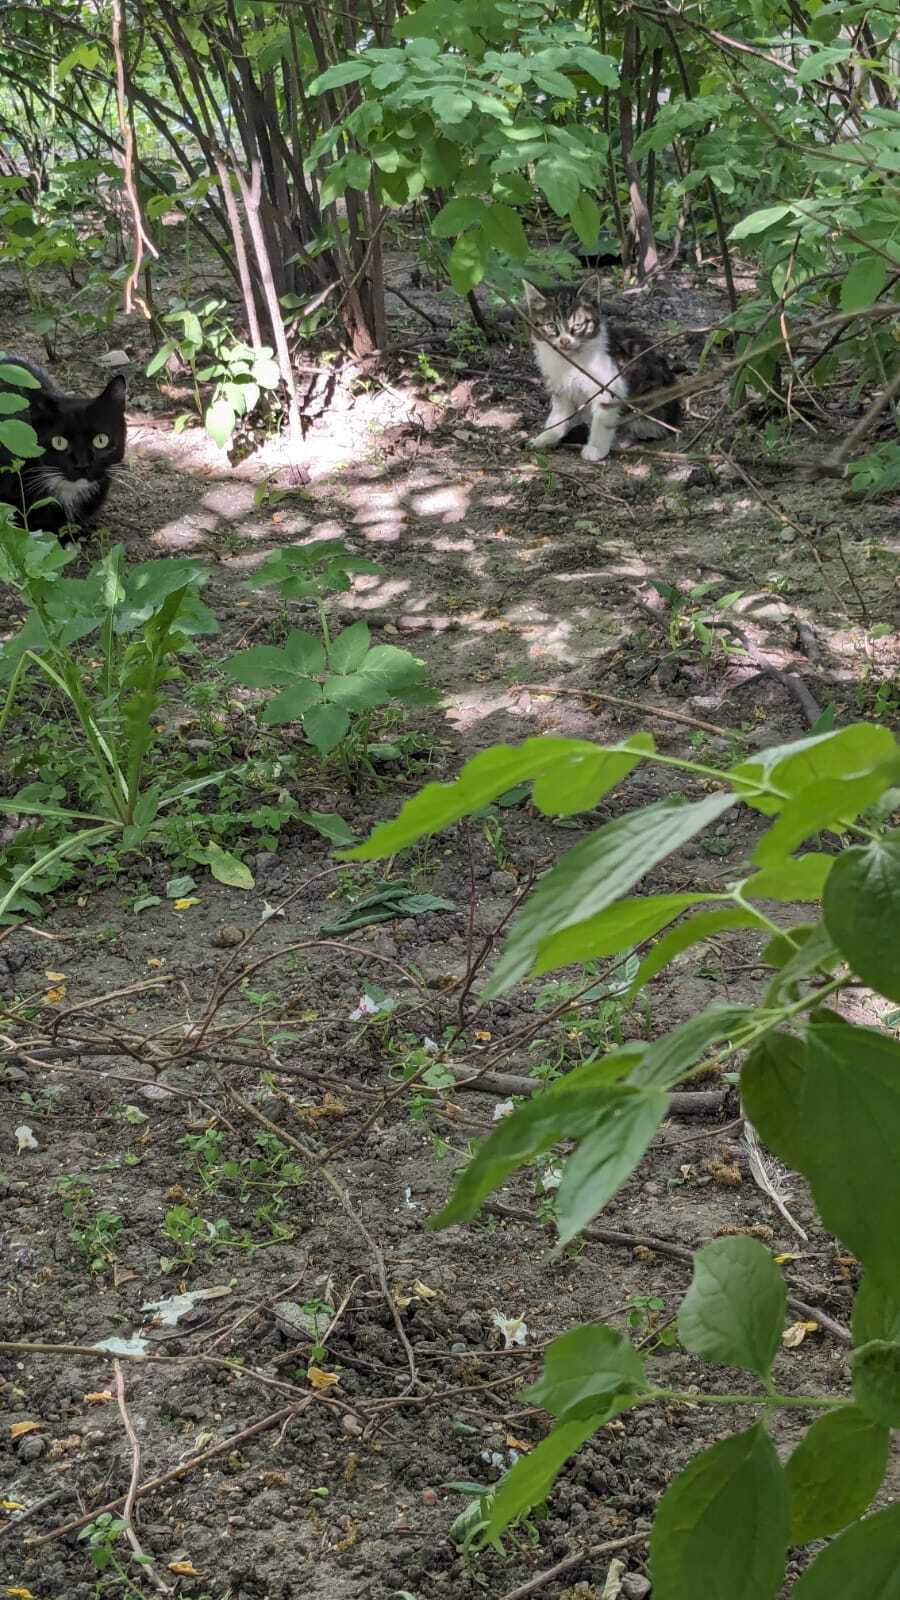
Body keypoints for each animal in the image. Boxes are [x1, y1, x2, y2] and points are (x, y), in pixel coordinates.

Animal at [518, 273, 679, 464]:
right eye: (551, 326)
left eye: (577, 326)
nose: (564, 341)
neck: (570, 361)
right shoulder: (560, 387)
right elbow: (559, 415)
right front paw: (547, 437)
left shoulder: (609, 386)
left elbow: (603, 418)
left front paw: (596, 449)